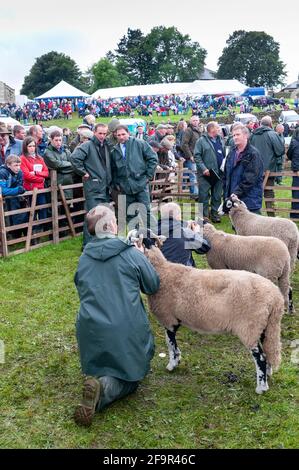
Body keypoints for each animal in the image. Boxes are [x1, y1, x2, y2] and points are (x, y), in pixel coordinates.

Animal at [129, 229, 284, 394]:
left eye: (131, 238)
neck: (162, 271)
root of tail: (276, 298)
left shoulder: (168, 318)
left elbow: (170, 344)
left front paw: (172, 364)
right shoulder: (174, 319)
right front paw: (177, 360)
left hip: (250, 327)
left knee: (260, 358)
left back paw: (261, 387)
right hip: (265, 326)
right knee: (268, 351)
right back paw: (268, 375)